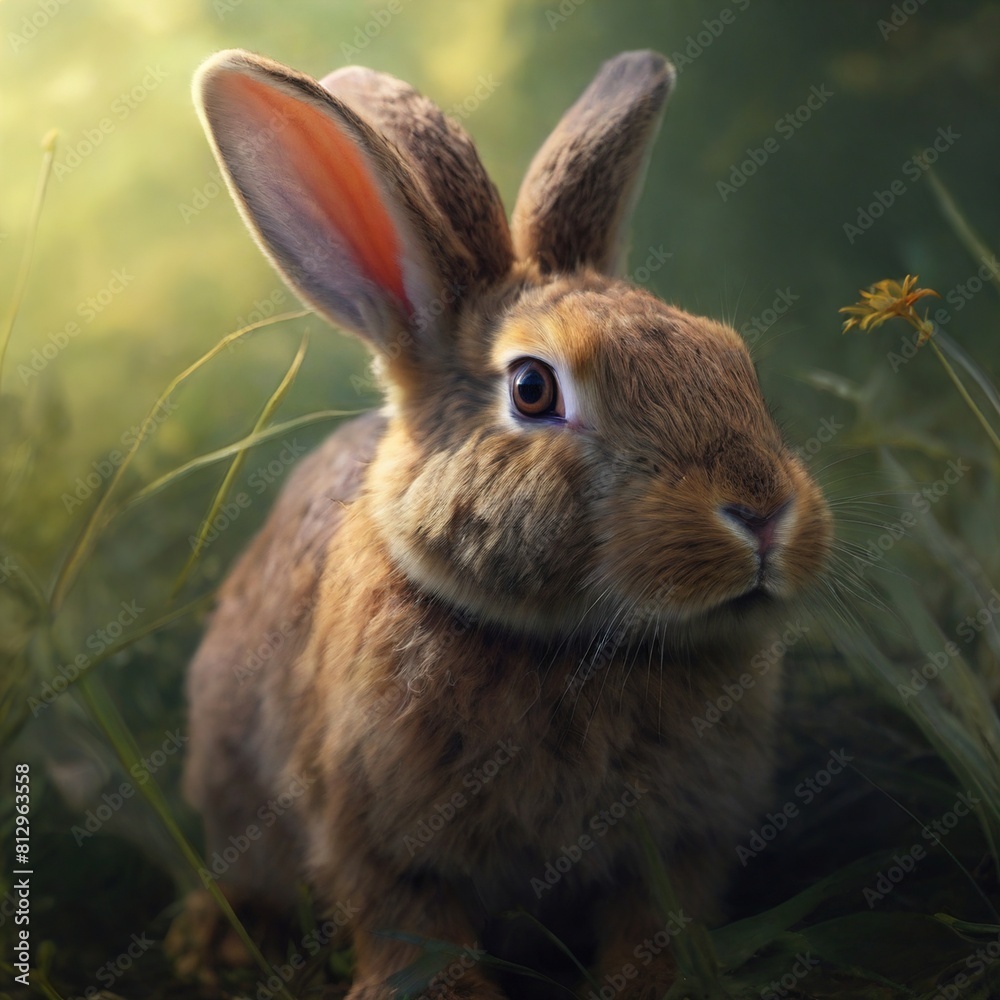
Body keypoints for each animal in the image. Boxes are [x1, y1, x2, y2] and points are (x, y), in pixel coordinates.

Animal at [180, 46, 832, 1000]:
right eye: (532, 389)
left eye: (731, 359)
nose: (762, 513)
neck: (564, 647)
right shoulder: (382, 844)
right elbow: (414, 939)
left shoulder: (682, 842)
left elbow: (655, 924)